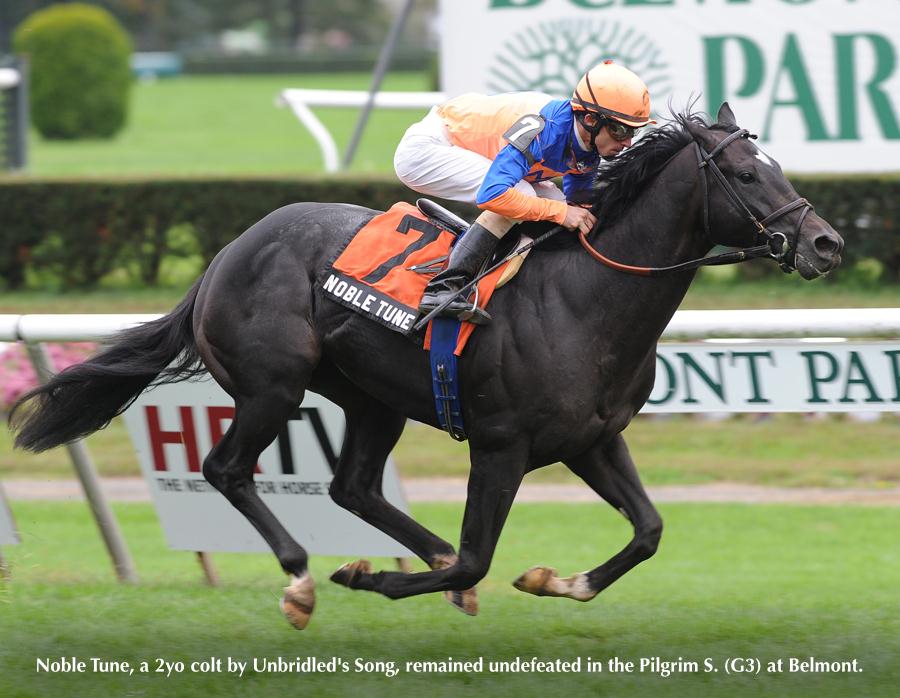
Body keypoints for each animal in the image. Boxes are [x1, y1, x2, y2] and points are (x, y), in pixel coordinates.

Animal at [12, 103, 844, 624]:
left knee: (351, 487)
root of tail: (224, 256)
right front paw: (372, 576)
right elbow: (477, 559)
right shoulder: (501, 445)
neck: (584, 298)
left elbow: (648, 531)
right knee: (228, 469)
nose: (826, 243)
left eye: (779, 166)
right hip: (271, 385)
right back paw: (303, 578)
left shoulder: (594, 439)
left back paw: (406, 551)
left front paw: (555, 579)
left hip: (370, 398)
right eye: (747, 175)